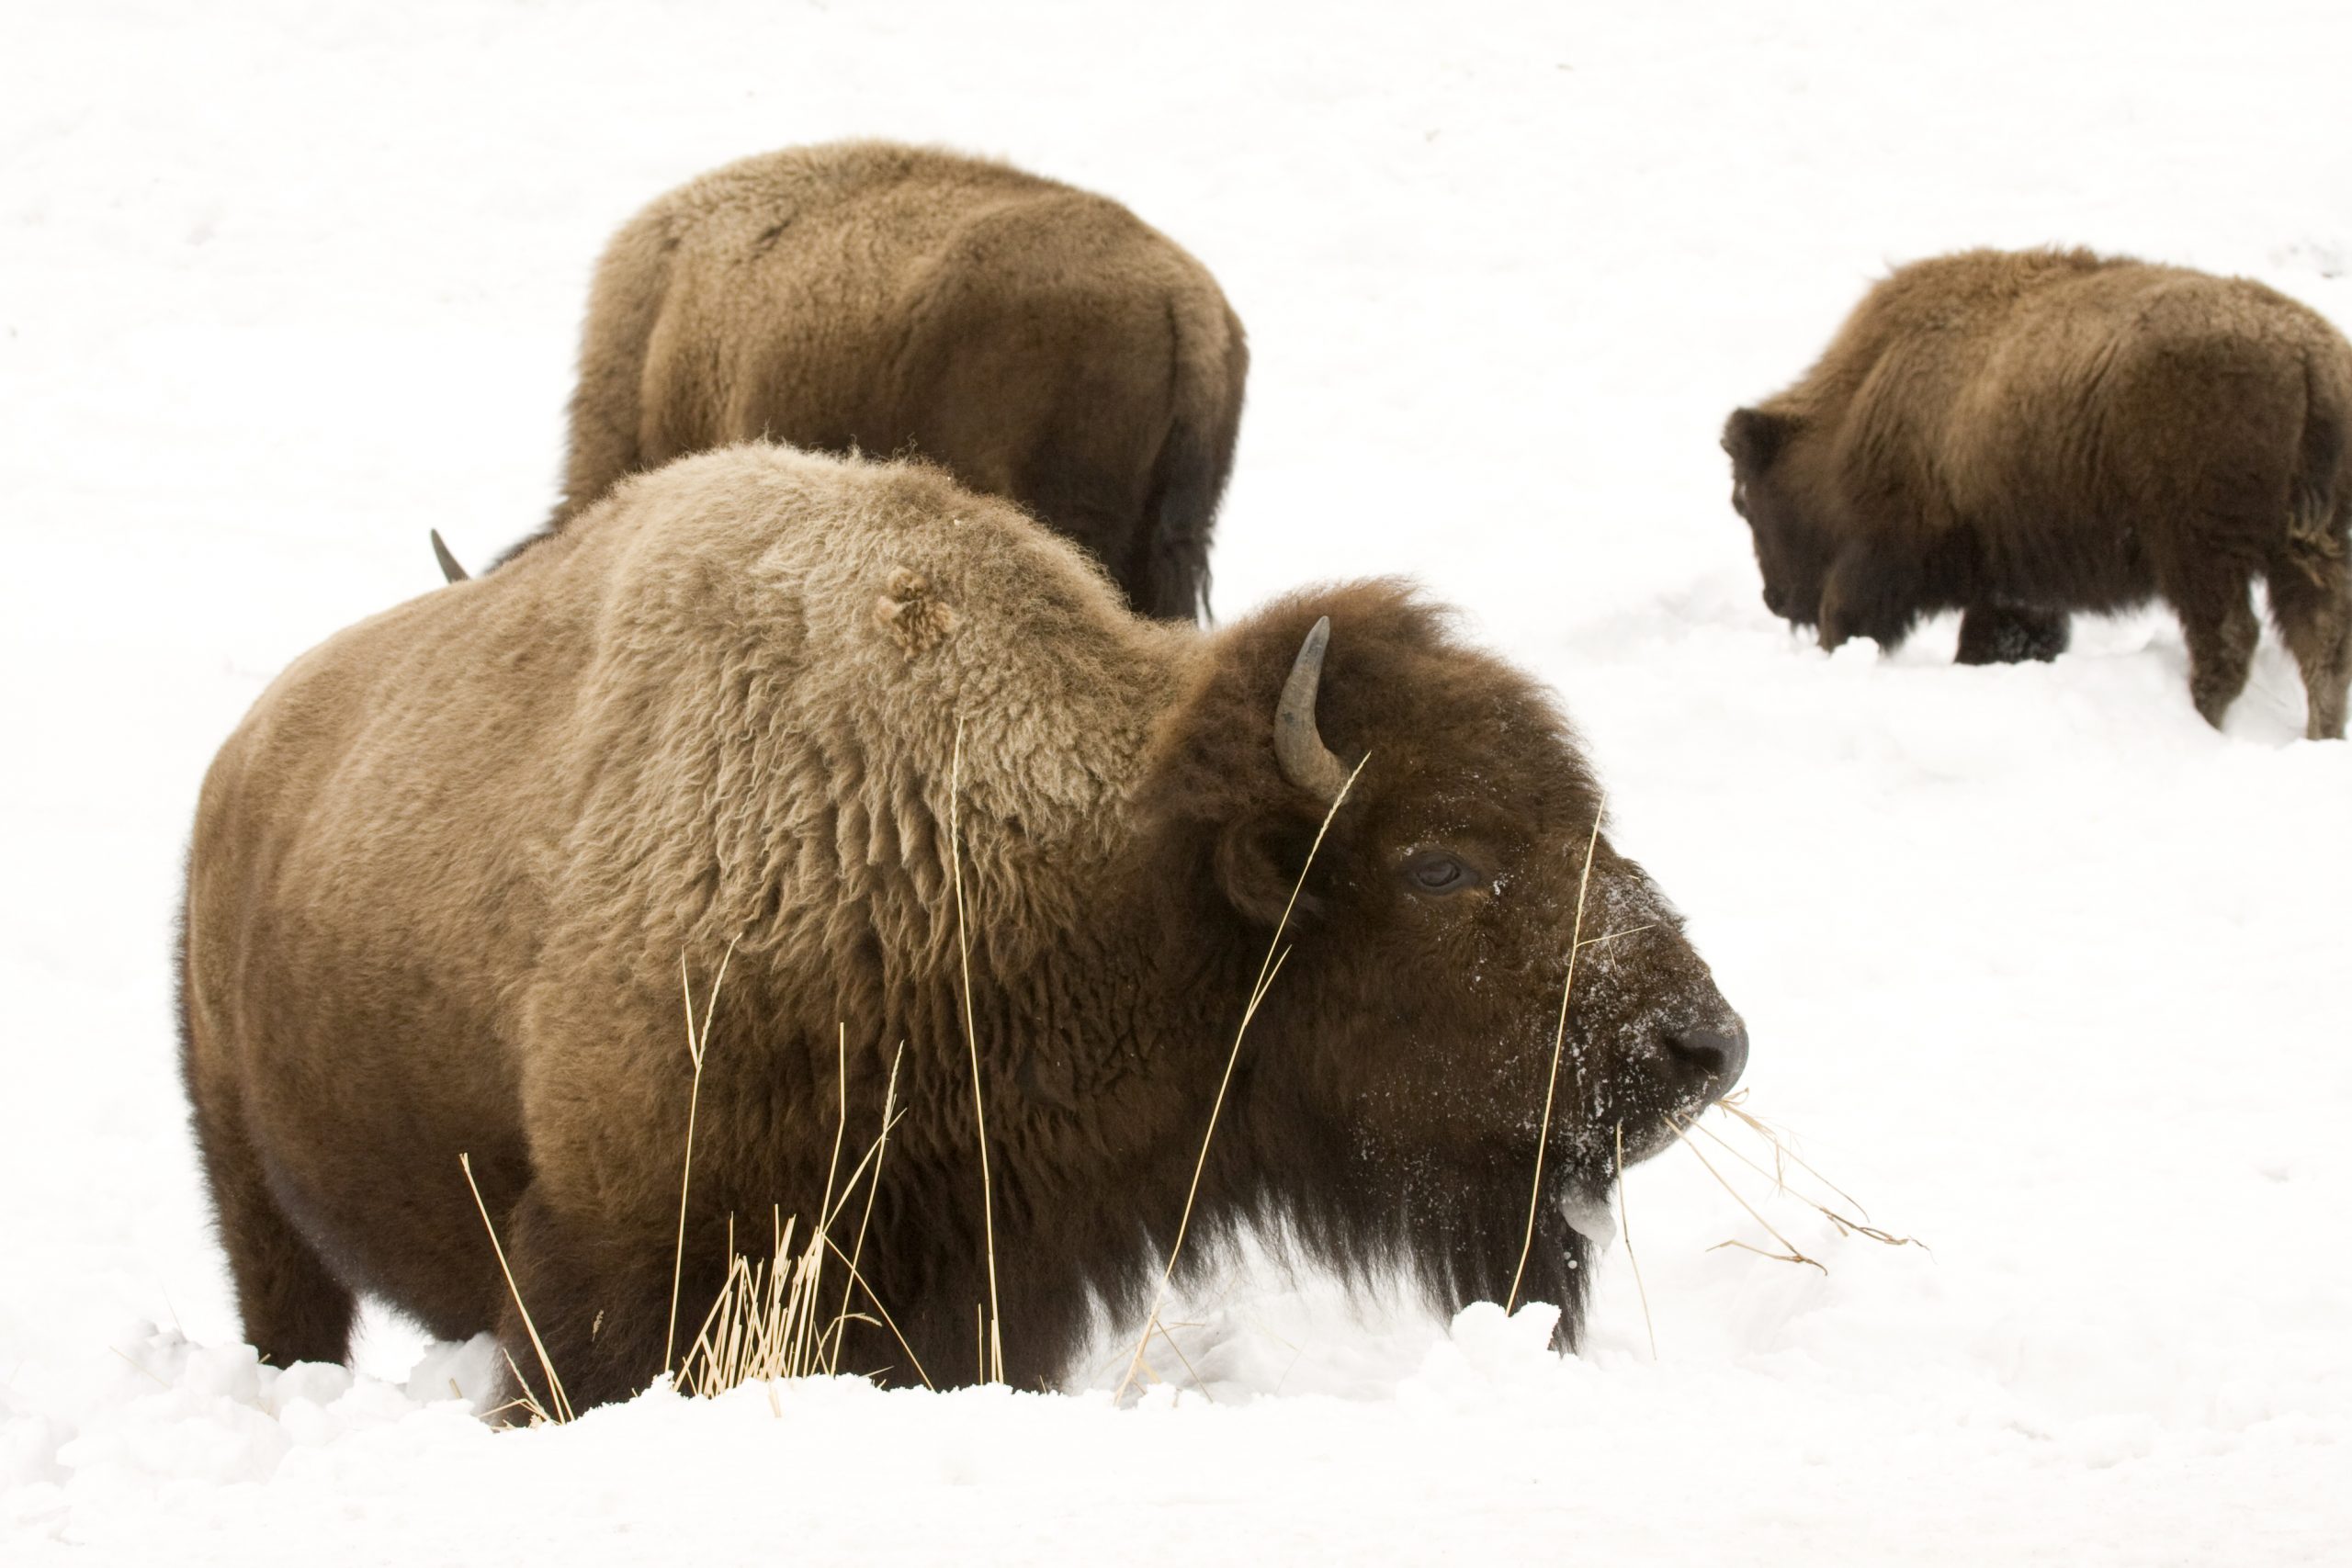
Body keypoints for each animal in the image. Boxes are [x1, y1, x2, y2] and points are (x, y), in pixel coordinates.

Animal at [182, 444, 1747, 1409]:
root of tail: (240, 764)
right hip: (256, 1205)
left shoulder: (972, 1292)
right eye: (1437, 863)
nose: (1705, 1045)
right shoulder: (610, 1280)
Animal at [1724, 247, 2352, 738]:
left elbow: (1851, 611)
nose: (1776, 599)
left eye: (1745, 502)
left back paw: (2201, 720)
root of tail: (2309, 358)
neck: (1862, 397)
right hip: (2303, 550)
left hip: (2199, 553)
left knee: (2230, 640)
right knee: (2322, 645)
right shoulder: (2017, 585)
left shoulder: (1888, 555)